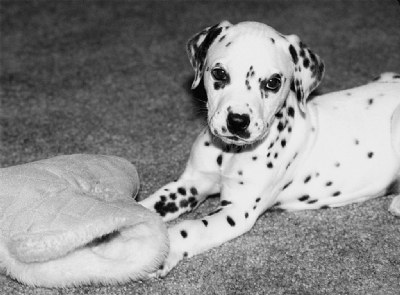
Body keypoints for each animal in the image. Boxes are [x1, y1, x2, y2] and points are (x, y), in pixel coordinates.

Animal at [139, 20, 398, 278]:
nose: (237, 121)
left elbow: (190, 229)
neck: (229, 153)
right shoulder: (191, 183)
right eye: (219, 73)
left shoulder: (237, 211)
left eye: (272, 82)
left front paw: (164, 251)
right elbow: (149, 205)